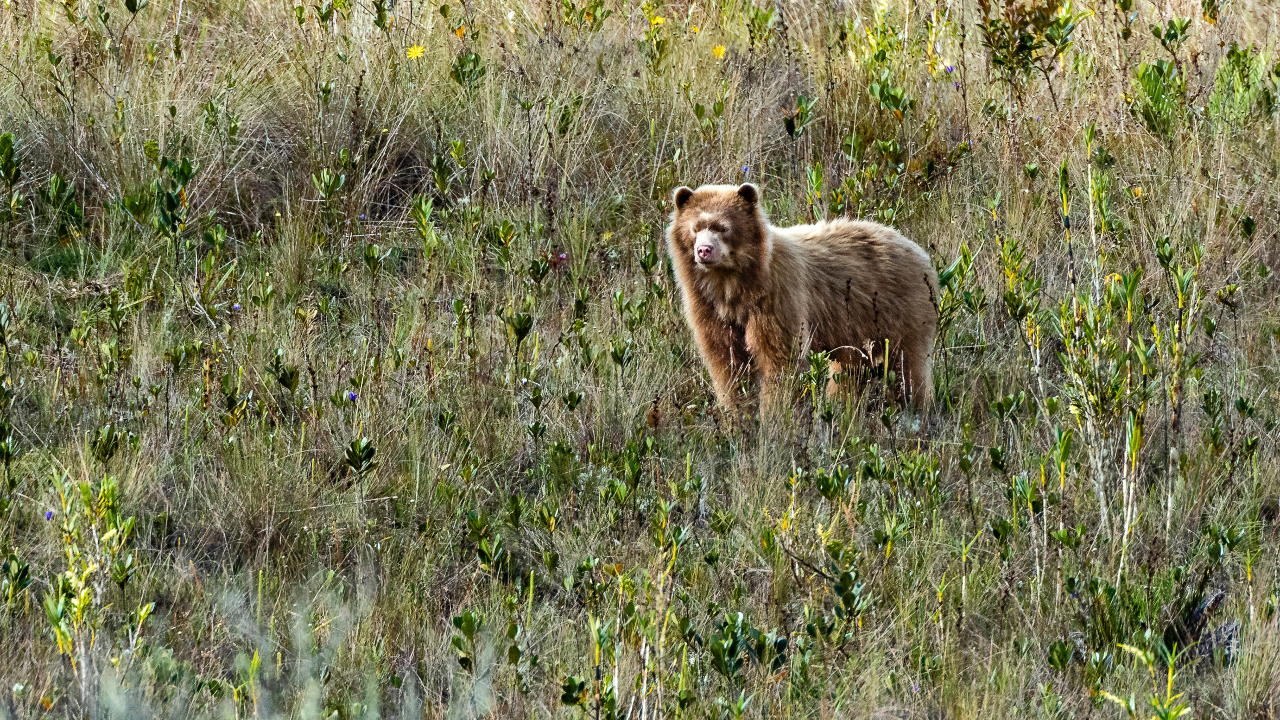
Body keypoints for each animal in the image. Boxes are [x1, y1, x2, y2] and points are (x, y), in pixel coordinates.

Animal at [665, 183, 938, 412]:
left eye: (723, 227)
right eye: (694, 228)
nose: (704, 250)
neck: (732, 286)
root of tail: (918, 249)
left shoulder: (777, 297)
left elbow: (780, 360)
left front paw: (774, 416)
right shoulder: (709, 309)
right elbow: (727, 362)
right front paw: (738, 416)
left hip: (902, 311)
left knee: (907, 367)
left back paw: (916, 409)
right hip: (859, 330)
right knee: (850, 372)